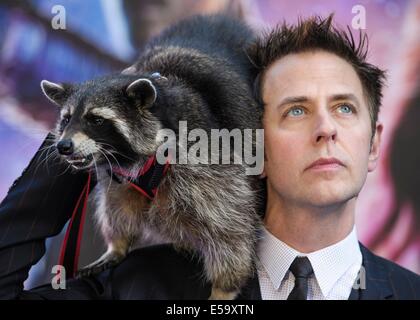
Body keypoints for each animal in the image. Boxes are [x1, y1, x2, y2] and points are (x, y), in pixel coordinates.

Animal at [39, 15, 262, 300]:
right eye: (66, 119)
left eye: (96, 120)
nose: (63, 146)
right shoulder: (118, 175)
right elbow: (118, 204)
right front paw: (118, 244)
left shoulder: (205, 154)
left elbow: (229, 226)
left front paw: (225, 287)